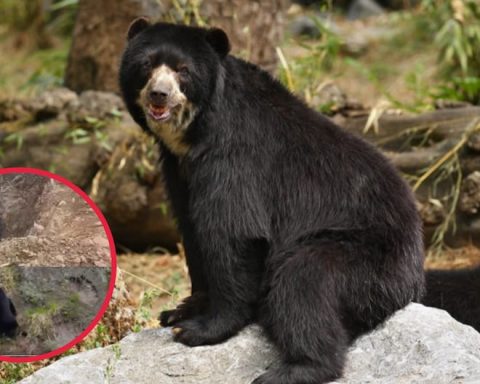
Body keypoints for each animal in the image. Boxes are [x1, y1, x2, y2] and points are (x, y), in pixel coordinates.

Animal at [119, 21, 424, 384]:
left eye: (183, 70)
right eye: (147, 64)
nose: (158, 95)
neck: (194, 133)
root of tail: (414, 279)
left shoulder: (236, 155)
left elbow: (233, 231)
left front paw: (200, 329)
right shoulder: (178, 169)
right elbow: (191, 229)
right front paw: (179, 311)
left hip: (365, 258)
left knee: (303, 283)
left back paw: (294, 369)